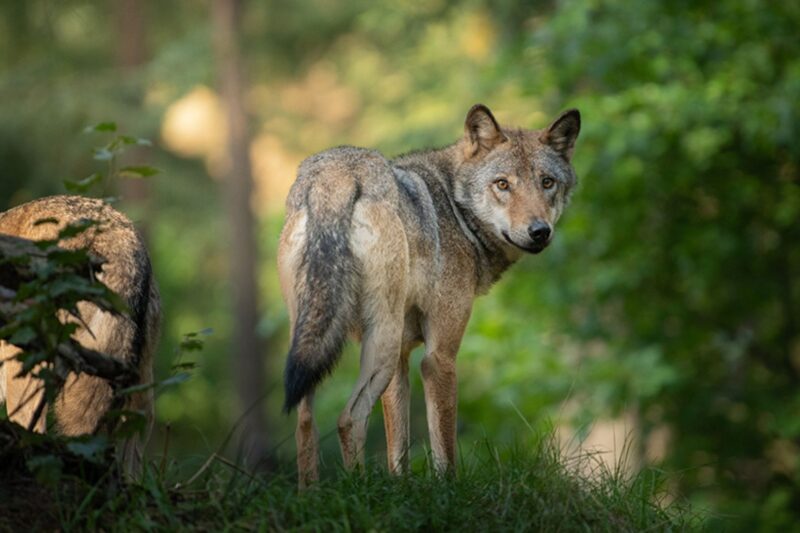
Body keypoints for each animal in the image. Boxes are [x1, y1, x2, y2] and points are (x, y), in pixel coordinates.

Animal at [278, 104, 580, 486]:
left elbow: (399, 451)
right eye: (502, 184)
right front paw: (448, 492)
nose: (540, 231)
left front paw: (400, 488)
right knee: (348, 419)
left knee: (305, 423)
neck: (455, 208)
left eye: (547, 182)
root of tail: (337, 176)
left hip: (315, 341)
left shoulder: (402, 360)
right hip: (381, 343)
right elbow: (444, 448)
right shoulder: (438, 357)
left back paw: (312, 494)